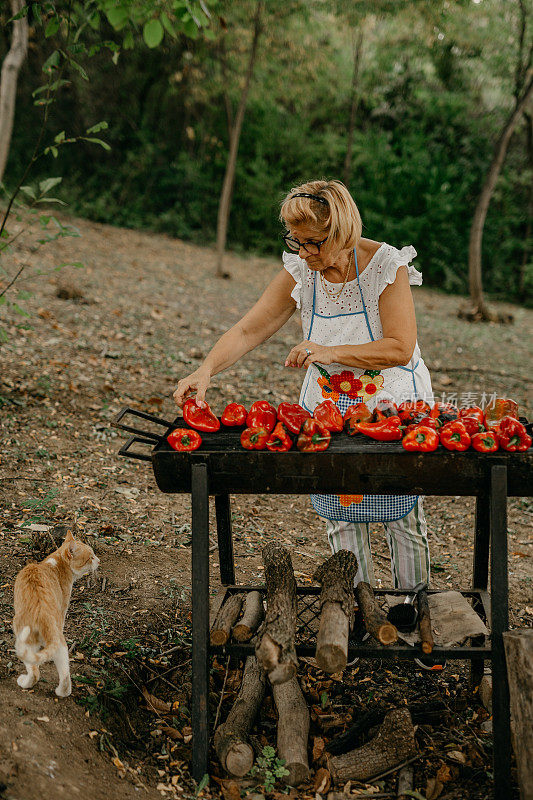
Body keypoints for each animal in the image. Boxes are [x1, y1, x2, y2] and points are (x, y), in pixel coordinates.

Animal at [12, 532, 99, 692]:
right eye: (90, 557)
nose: (99, 561)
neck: (54, 563)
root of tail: (43, 614)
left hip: (22, 633)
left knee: (35, 671)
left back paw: (24, 682)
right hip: (58, 641)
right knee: (64, 674)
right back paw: (61, 691)